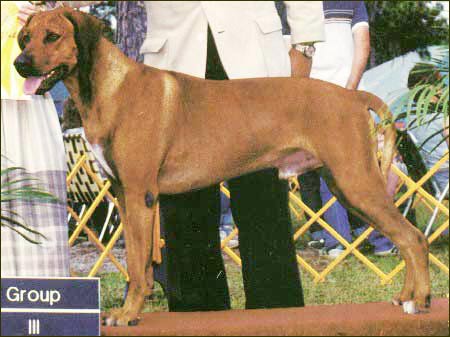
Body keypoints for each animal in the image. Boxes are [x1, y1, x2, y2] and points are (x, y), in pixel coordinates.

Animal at [13, 8, 428, 326]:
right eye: (25, 37)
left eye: (52, 36)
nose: (19, 64)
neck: (108, 87)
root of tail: (351, 94)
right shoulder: (122, 194)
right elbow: (136, 264)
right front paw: (131, 308)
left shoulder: (139, 193)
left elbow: (137, 263)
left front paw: (128, 314)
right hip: (347, 185)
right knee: (405, 239)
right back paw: (405, 296)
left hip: (356, 181)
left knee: (413, 238)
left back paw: (418, 300)